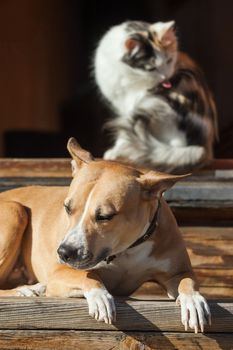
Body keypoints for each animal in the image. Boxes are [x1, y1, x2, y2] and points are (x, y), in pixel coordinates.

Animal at [0, 137, 211, 330]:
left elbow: (188, 281)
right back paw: (26, 291)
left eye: (104, 216)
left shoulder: (176, 272)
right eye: (67, 208)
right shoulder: (60, 272)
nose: (64, 252)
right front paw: (100, 296)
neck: (127, 249)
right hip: (14, 210)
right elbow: (88, 276)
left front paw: (193, 301)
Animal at [93, 19, 218, 173]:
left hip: (164, 104)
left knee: (176, 145)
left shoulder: (137, 103)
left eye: (169, 60)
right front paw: (115, 151)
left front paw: (119, 151)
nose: (166, 78)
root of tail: (207, 148)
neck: (129, 76)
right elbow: (124, 129)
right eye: (152, 68)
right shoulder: (121, 105)